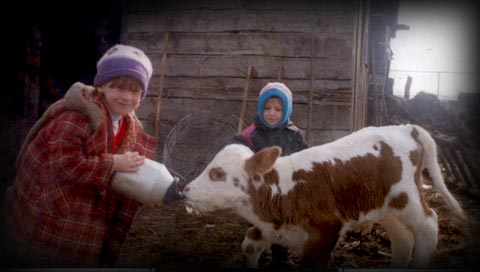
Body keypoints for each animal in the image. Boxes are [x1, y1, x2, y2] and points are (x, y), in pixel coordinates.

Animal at [181, 125, 464, 268]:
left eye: (218, 173)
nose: (185, 190)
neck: (284, 188)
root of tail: (406, 127)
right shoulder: (275, 227)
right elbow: (249, 243)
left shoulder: (326, 229)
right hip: (386, 207)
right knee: (403, 237)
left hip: (406, 197)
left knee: (429, 224)